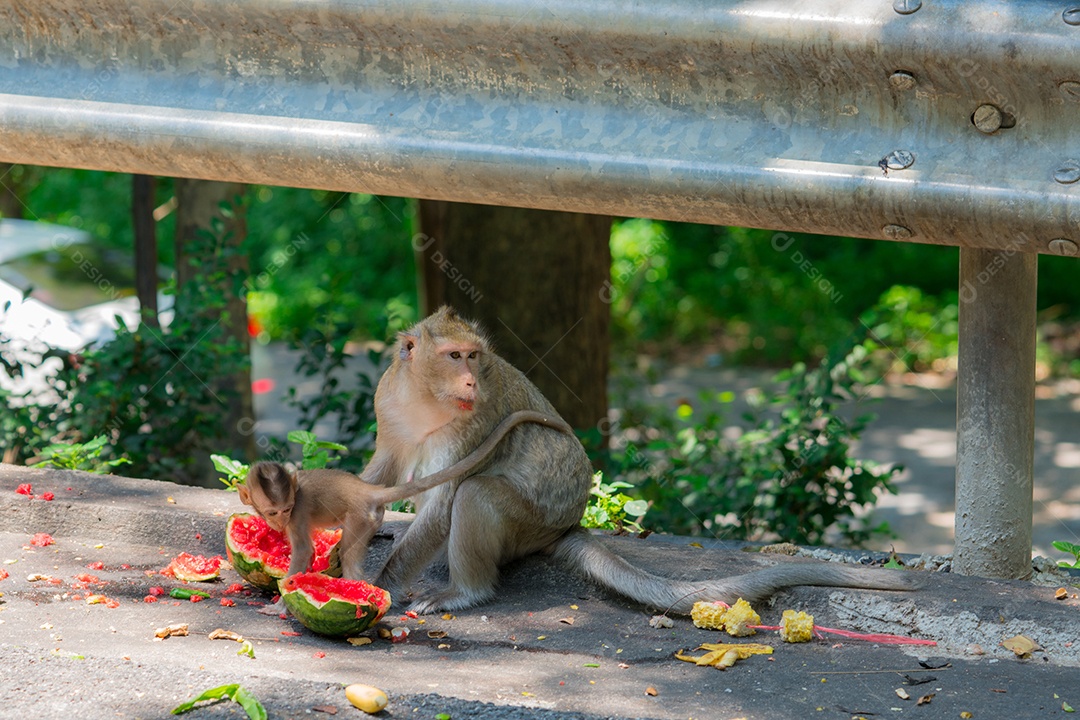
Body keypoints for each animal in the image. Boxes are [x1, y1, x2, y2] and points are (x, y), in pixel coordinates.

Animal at [238, 409, 573, 581]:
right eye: (272, 513)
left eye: (286, 509)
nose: (279, 523)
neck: (295, 496)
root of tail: (367, 489)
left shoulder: (297, 517)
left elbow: (304, 551)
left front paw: (283, 599)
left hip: (361, 518)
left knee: (350, 551)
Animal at [365, 306, 921, 615]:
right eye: (454, 356)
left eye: (474, 356)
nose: (469, 380)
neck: (426, 399)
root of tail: (566, 526)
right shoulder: (388, 400)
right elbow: (383, 473)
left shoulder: (473, 421)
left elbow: (445, 499)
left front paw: (379, 584)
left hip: (530, 523)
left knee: (477, 495)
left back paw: (465, 592)